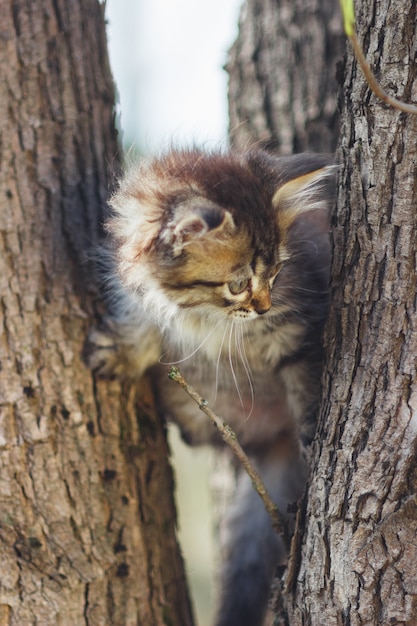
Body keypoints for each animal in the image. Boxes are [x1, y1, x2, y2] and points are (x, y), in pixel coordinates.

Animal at [88, 147, 334, 624]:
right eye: (238, 284)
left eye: (277, 272)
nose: (263, 306)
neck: (204, 314)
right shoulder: (140, 293)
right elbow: (148, 326)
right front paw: (123, 352)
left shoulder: (299, 329)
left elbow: (307, 386)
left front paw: (314, 434)